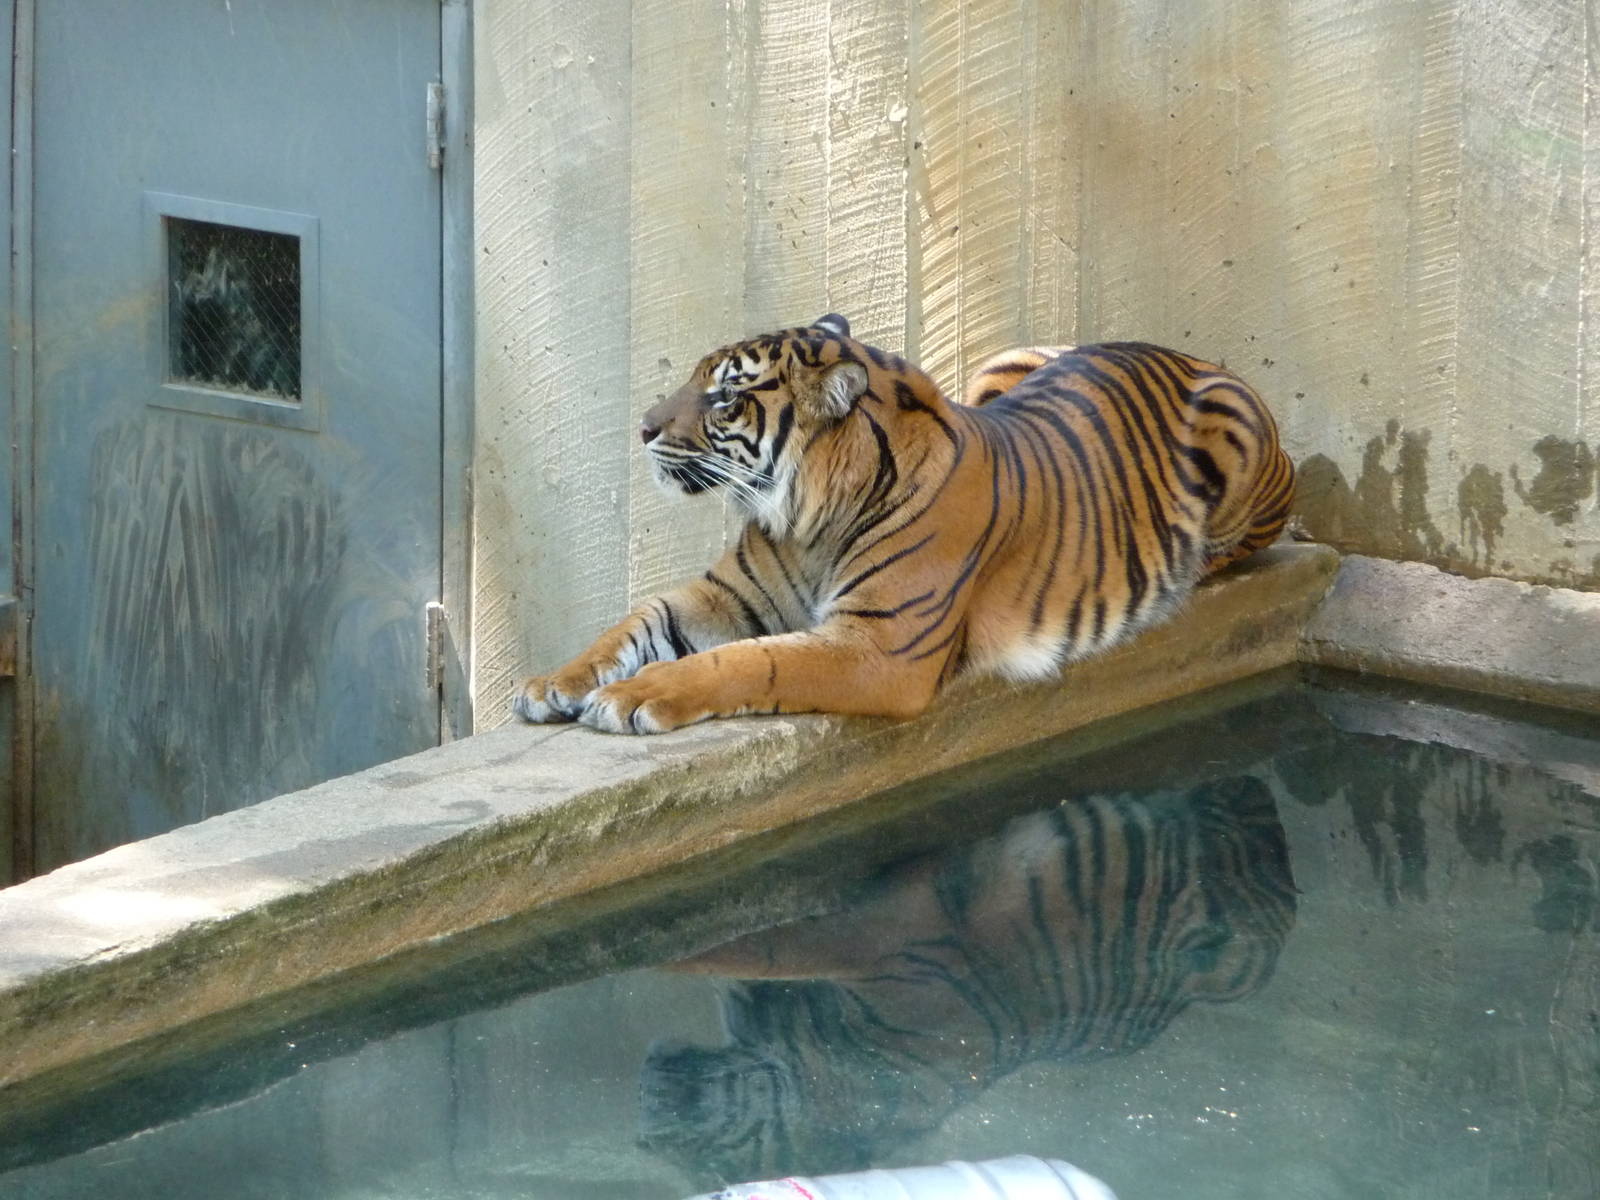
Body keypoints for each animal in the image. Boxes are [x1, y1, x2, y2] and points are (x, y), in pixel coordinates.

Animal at [513, 314, 1295, 733]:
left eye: (725, 396)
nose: (642, 429)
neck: (804, 522)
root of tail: (1183, 352)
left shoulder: (879, 647)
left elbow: (747, 661)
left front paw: (636, 695)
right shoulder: (725, 595)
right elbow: (636, 621)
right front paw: (554, 683)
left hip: (1239, 432)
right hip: (1000, 359)